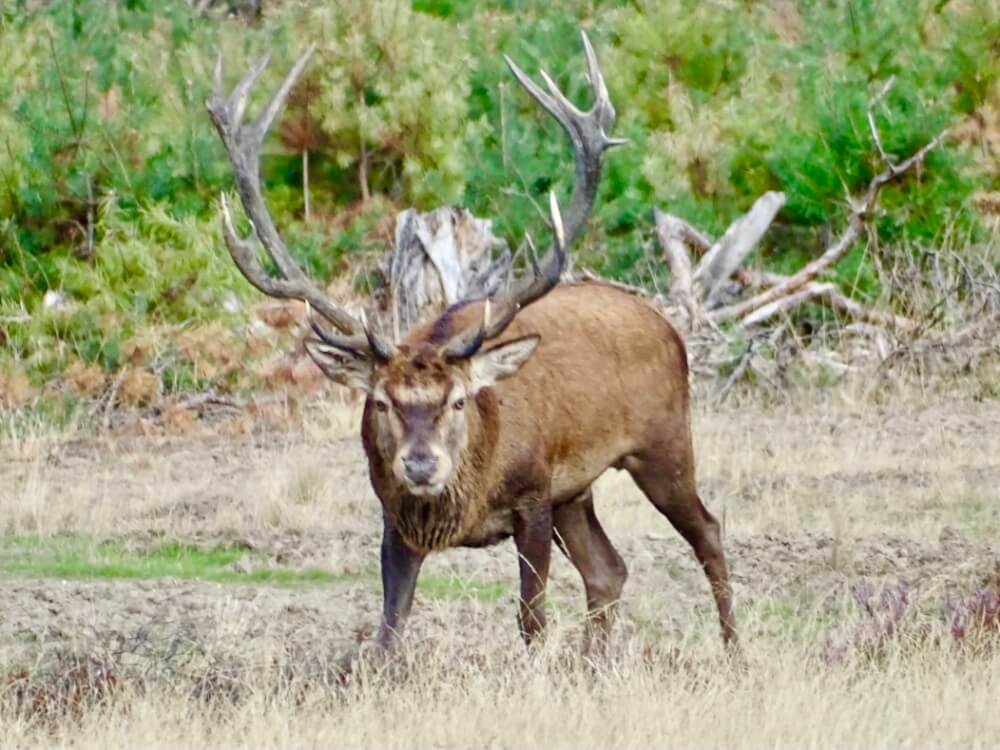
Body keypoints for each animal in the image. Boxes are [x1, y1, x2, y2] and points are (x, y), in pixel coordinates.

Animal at [205, 32, 736, 656]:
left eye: (458, 400)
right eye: (381, 402)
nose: (420, 465)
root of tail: (668, 326)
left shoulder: (533, 497)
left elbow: (531, 620)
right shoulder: (395, 518)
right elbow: (388, 631)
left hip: (662, 443)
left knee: (707, 531)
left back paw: (732, 649)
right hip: (576, 490)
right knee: (609, 569)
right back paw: (594, 663)